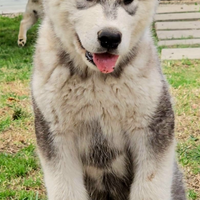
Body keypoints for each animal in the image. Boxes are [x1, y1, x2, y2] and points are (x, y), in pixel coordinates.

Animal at [30, 0, 186, 199]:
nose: (110, 38)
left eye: (128, 1)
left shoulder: (152, 128)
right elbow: (66, 189)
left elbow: (149, 187)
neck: (97, 80)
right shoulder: (56, 134)